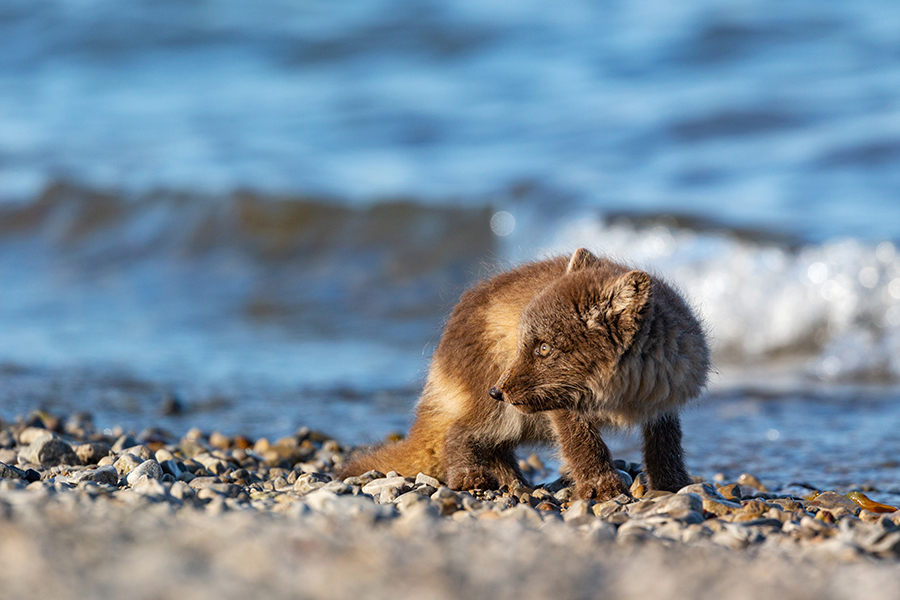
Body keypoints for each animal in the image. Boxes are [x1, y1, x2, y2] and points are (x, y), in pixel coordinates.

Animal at [337, 248, 710, 501]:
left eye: (544, 348)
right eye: (524, 344)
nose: (496, 391)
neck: (621, 396)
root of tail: (442, 354)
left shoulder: (662, 398)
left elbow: (665, 444)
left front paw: (672, 485)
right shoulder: (560, 402)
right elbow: (582, 442)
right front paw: (600, 486)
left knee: (493, 447)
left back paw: (516, 483)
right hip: (504, 413)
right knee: (457, 433)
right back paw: (472, 476)